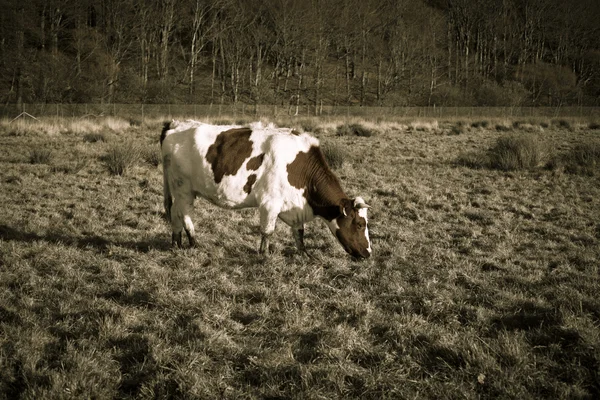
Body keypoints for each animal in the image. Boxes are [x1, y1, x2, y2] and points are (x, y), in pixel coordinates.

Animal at [162, 119, 372, 258]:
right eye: (360, 224)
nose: (369, 253)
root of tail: (176, 123)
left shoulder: (294, 206)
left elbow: (299, 232)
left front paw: (304, 254)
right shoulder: (269, 204)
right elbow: (267, 231)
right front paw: (264, 255)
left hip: (183, 190)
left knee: (180, 213)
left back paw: (184, 243)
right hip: (182, 188)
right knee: (181, 214)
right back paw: (184, 243)